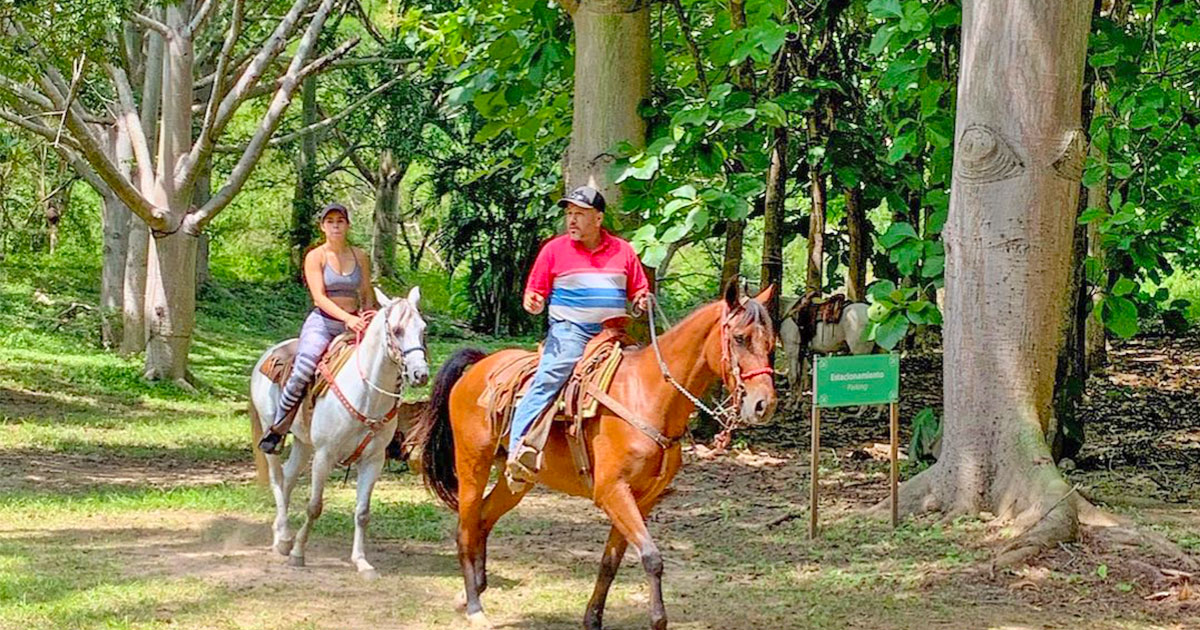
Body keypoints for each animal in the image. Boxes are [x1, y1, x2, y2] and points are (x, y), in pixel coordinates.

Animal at [246, 286, 429, 578]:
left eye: (423, 329)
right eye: (397, 330)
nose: (420, 374)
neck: (367, 394)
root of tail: (269, 352)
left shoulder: (373, 460)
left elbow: (363, 512)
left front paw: (362, 562)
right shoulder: (324, 455)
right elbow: (314, 506)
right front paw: (298, 553)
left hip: (303, 442)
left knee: (288, 477)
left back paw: (279, 537)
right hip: (269, 429)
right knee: (277, 477)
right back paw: (285, 538)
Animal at [412, 285, 777, 628]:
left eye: (771, 343)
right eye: (740, 338)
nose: (764, 404)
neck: (649, 395)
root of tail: (479, 365)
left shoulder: (643, 499)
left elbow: (610, 562)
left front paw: (593, 618)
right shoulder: (612, 491)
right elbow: (651, 557)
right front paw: (658, 620)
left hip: (516, 478)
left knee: (484, 520)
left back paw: (471, 591)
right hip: (472, 463)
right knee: (466, 528)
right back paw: (475, 608)